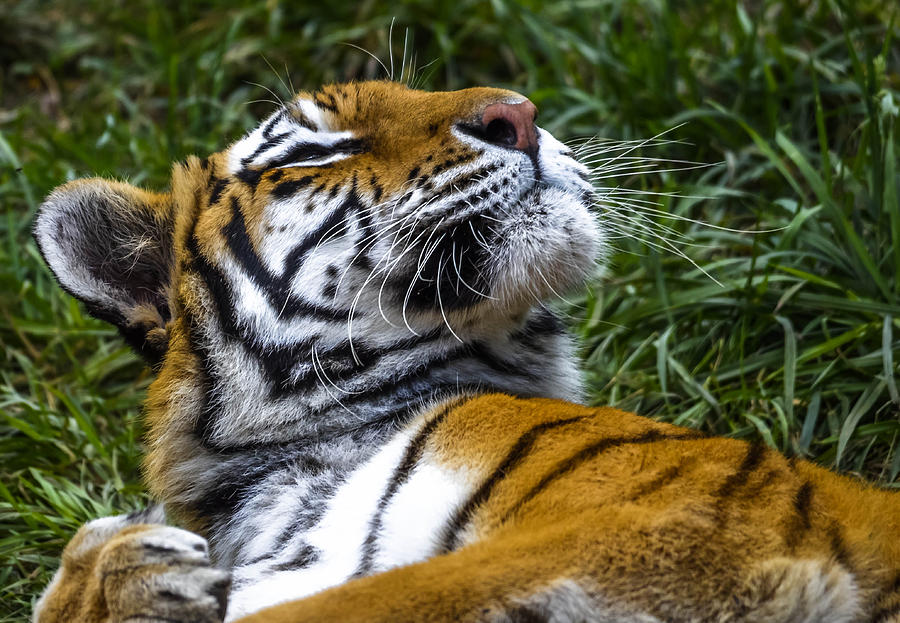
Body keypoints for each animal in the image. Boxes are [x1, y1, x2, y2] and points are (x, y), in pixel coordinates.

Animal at [31, 83, 896, 623]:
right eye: (313, 152)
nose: (519, 113)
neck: (283, 475)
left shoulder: (679, 520)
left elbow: (361, 601)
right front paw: (133, 570)